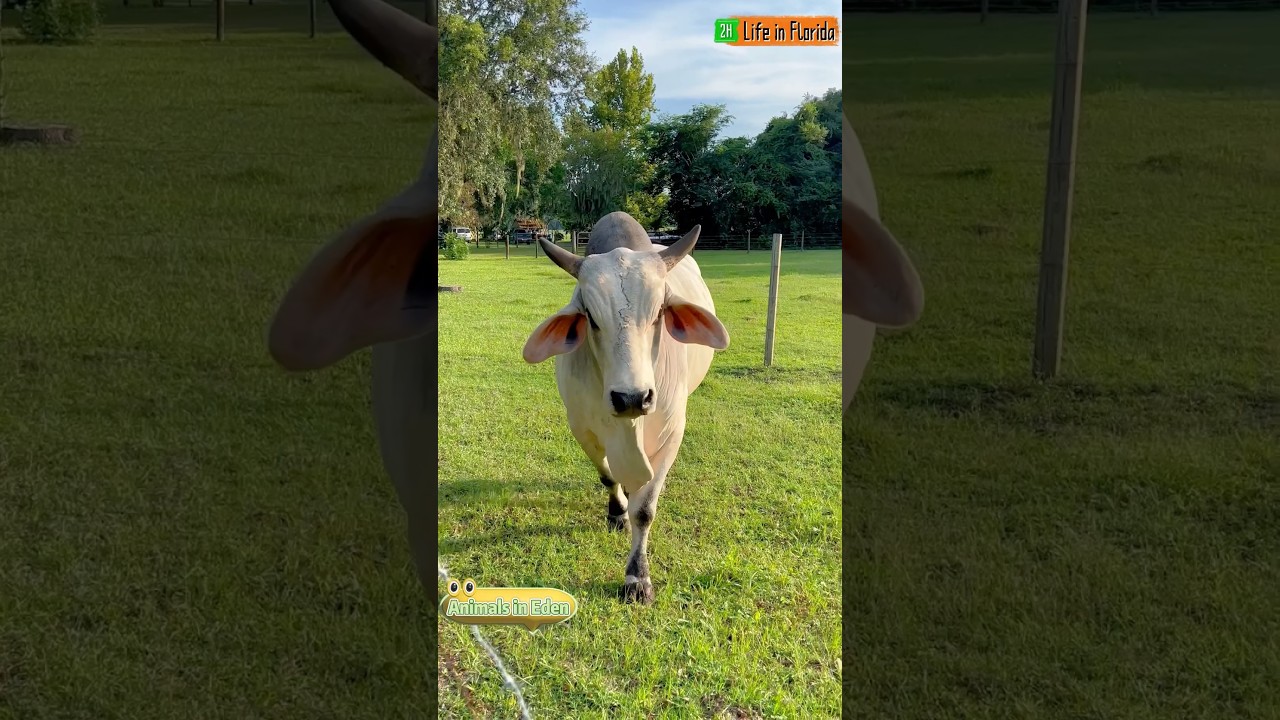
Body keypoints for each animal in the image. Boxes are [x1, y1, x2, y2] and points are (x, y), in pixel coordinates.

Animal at [523, 212, 730, 604]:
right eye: (590, 315)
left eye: (660, 311)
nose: (632, 398)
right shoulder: (581, 427)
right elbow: (608, 476)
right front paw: (617, 512)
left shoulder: (670, 434)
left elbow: (646, 511)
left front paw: (638, 578)